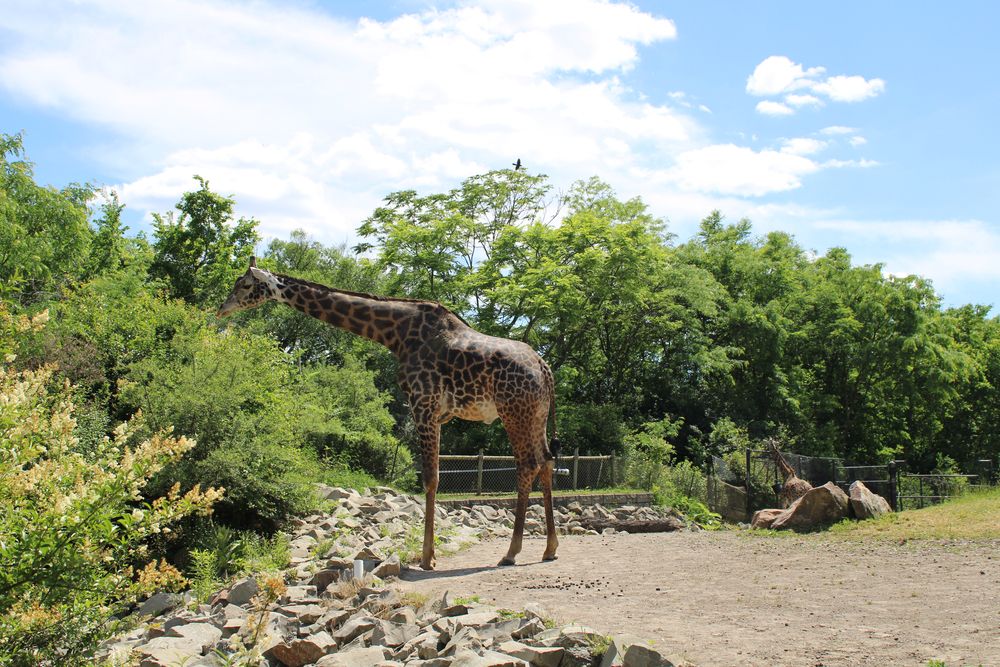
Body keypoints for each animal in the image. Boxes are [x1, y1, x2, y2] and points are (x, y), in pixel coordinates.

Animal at [217, 258, 560, 570]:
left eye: (244, 285)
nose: (222, 309)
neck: (395, 334)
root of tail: (544, 369)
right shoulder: (435, 413)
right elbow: (432, 477)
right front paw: (429, 554)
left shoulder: (423, 404)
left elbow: (430, 479)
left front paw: (427, 558)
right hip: (536, 415)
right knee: (546, 462)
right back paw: (549, 549)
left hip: (514, 412)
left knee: (528, 465)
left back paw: (511, 553)